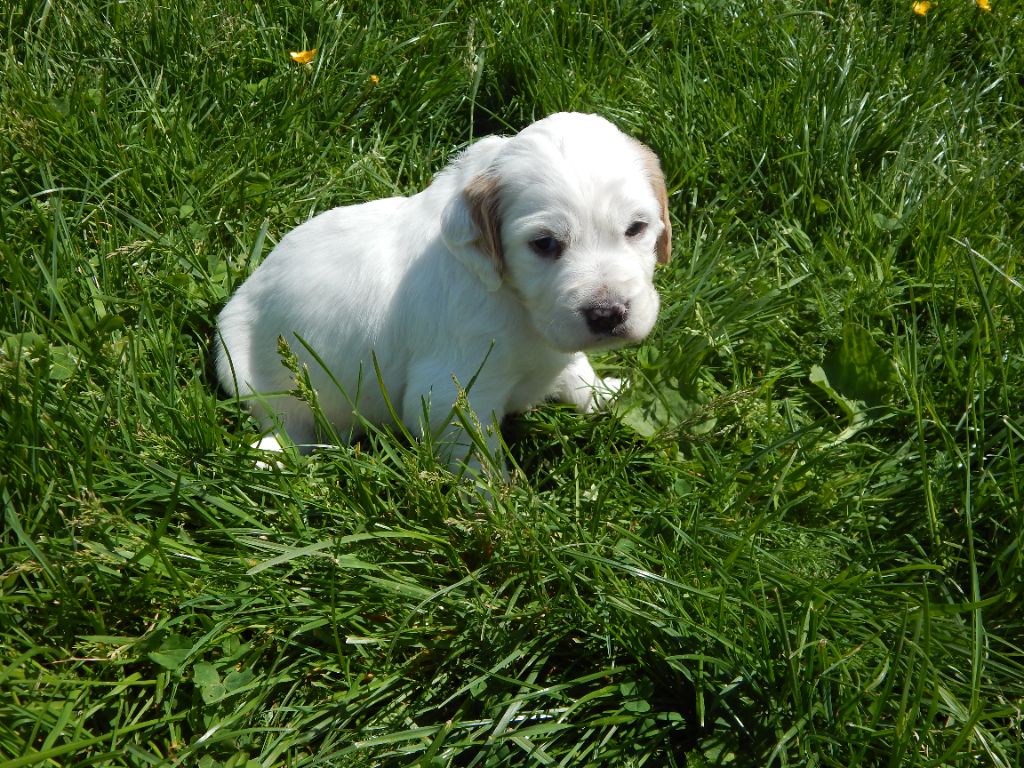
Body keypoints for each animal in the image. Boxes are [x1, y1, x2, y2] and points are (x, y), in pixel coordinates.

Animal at [216, 112, 670, 474]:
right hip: (248, 371)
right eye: (544, 244)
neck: (514, 303)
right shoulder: (451, 394)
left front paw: (607, 395)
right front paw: (502, 513)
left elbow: (577, 370)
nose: (608, 314)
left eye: (636, 228)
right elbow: (478, 463)